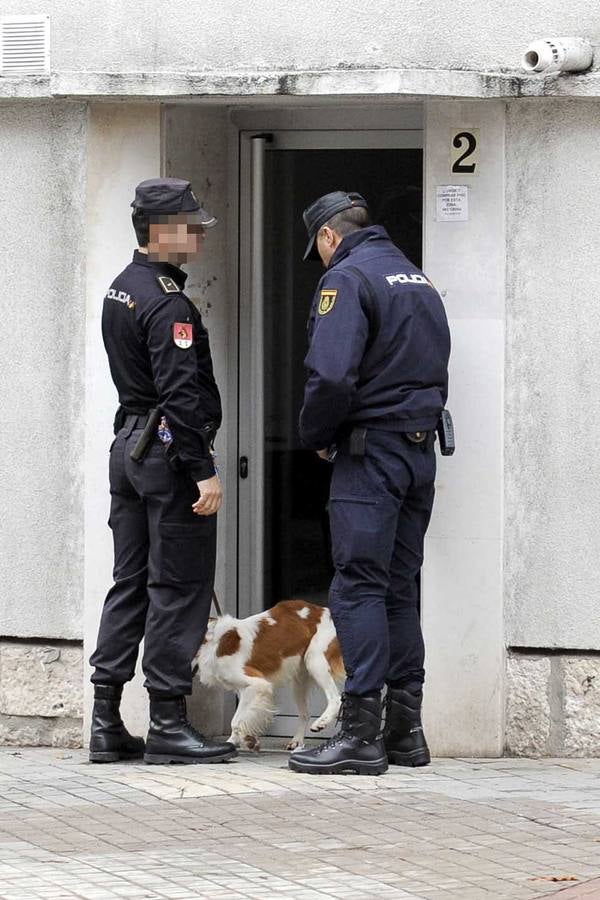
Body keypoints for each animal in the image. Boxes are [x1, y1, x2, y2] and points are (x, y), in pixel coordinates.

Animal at [195, 604, 344, 752]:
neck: (211, 643)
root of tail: (324, 610)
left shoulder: (257, 684)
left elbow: (236, 721)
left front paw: (239, 741)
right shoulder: (244, 690)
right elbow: (244, 717)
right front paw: (243, 740)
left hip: (315, 660)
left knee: (335, 698)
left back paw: (321, 722)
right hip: (300, 680)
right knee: (305, 713)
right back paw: (296, 741)